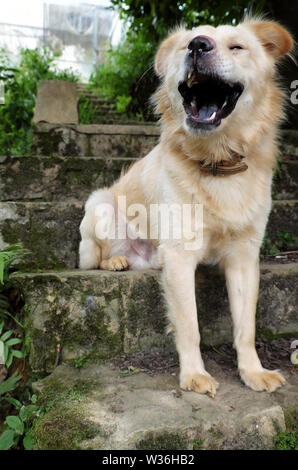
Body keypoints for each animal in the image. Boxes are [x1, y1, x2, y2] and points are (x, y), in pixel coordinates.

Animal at [78, 17, 294, 396]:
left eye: (237, 47)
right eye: (185, 44)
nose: (198, 46)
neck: (217, 161)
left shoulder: (244, 258)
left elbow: (246, 326)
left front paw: (252, 371)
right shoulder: (180, 256)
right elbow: (190, 325)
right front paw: (194, 375)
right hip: (100, 206)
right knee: (95, 259)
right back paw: (115, 261)